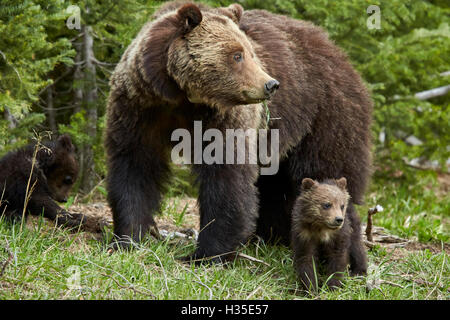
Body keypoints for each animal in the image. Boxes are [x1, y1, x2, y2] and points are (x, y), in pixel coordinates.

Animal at [105, 1, 372, 262]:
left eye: (251, 53)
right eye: (237, 55)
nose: (271, 84)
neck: (181, 97)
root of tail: (338, 51)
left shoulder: (223, 118)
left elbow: (227, 178)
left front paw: (206, 253)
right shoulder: (139, 107)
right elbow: (135, 166)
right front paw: (128, 238)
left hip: (325, 116)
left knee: (324, 172)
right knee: (276, 186)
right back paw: (272, 237)